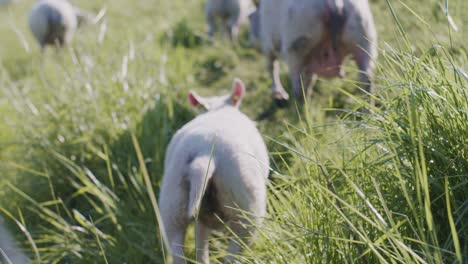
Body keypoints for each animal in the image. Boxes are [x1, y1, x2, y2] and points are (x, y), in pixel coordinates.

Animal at [158, 78, 268, 264]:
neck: (218, 108)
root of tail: (204, 155)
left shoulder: (202, 218)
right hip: (246, 211)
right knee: (233, 256)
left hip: (172, 206)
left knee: (181, 249)